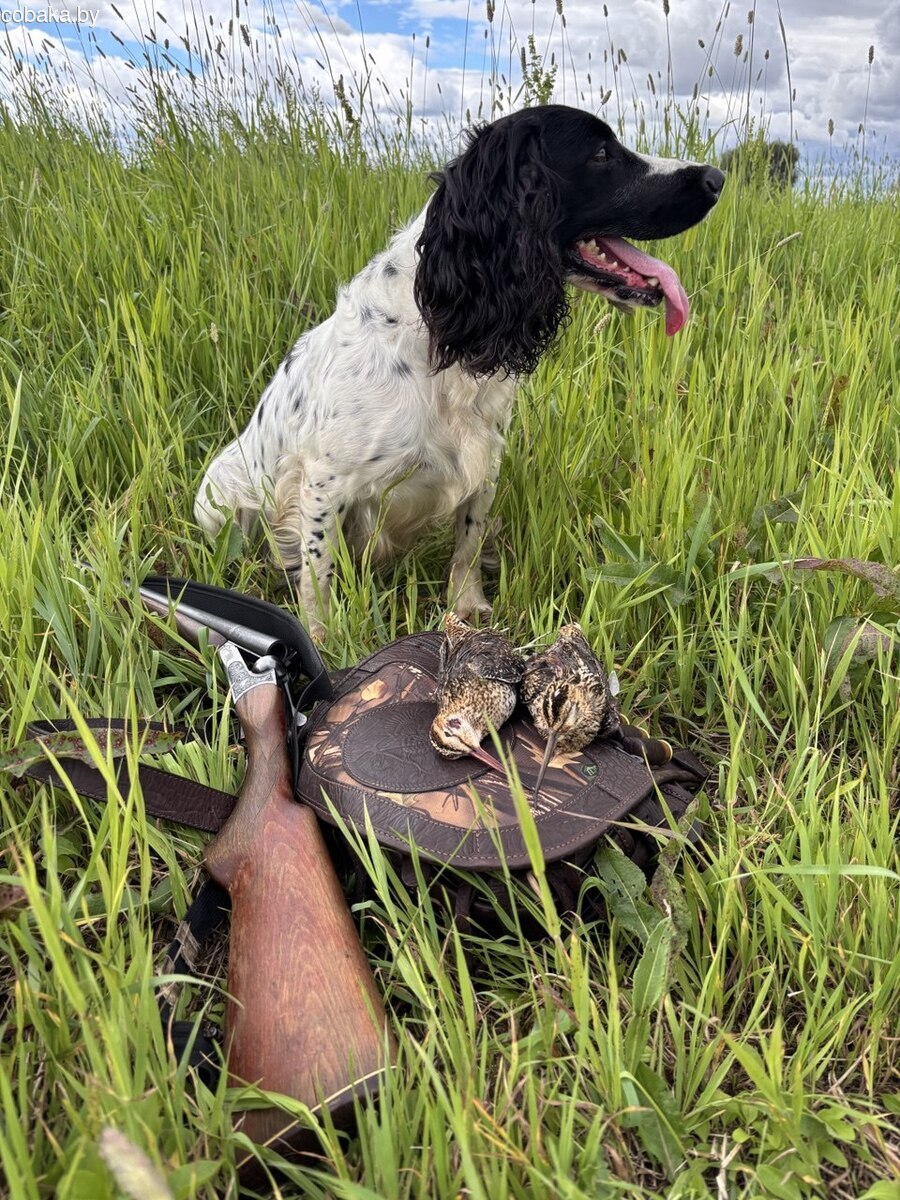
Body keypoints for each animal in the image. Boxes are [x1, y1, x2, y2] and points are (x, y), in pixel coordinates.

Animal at [195, 105, 724, 636]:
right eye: (600, 153)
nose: (717, 178)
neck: (440, 331)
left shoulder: (484, 458)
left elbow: (468, 542)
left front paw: (467, 607)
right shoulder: (325, 482)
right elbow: (318, 573)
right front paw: (324, 635)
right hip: (217, 499)